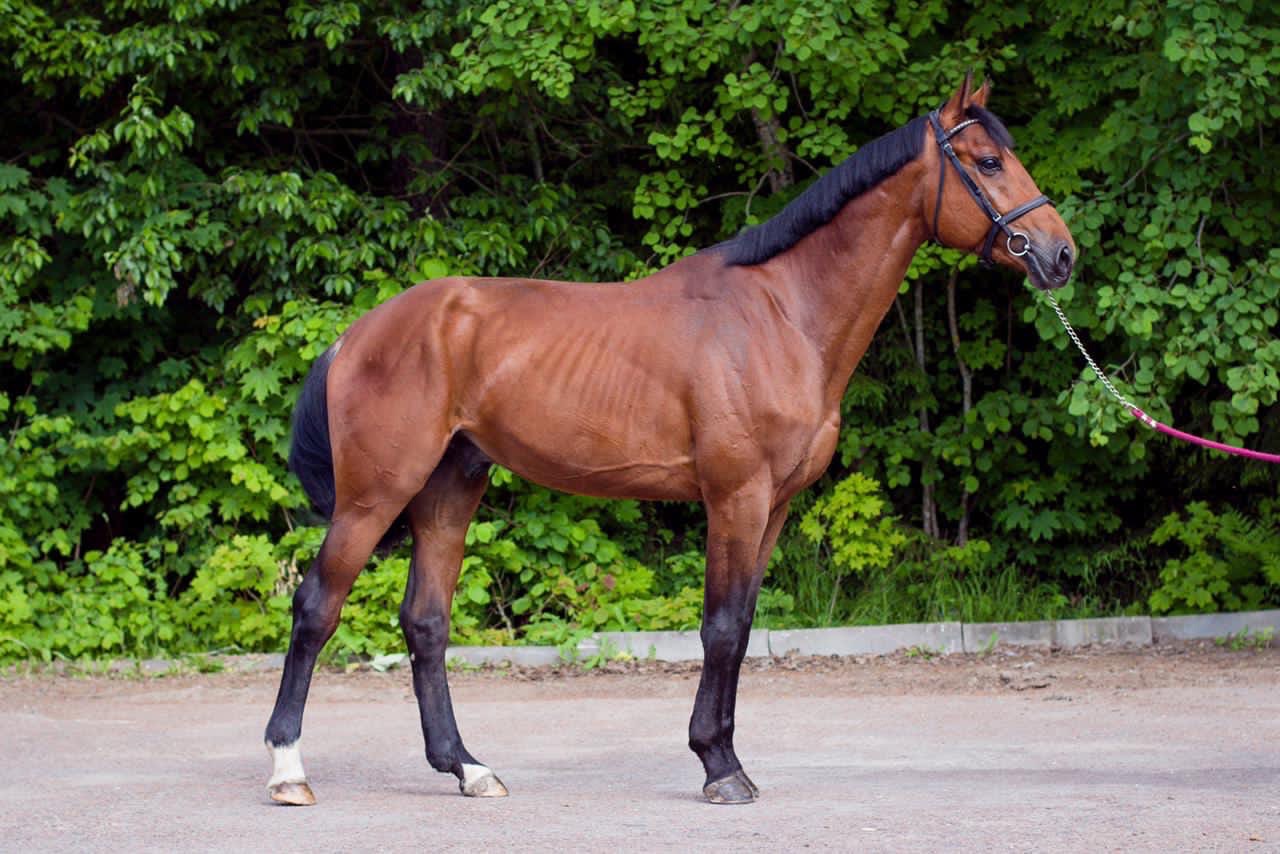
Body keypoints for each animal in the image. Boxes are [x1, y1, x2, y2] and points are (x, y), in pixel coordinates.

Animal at [263, 75, 1075, 806]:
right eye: (988, 162)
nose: (1060, 255)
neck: (781, 314)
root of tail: (357, 334)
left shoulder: (773, 508)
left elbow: (742, 627)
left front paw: (727, 757)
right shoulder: (735, 497)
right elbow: (719, 628)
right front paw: (719, 768)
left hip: (450, 487)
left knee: (426, 623)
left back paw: (468, 768)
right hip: (374, 496)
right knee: (317, 608)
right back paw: (288, 771)